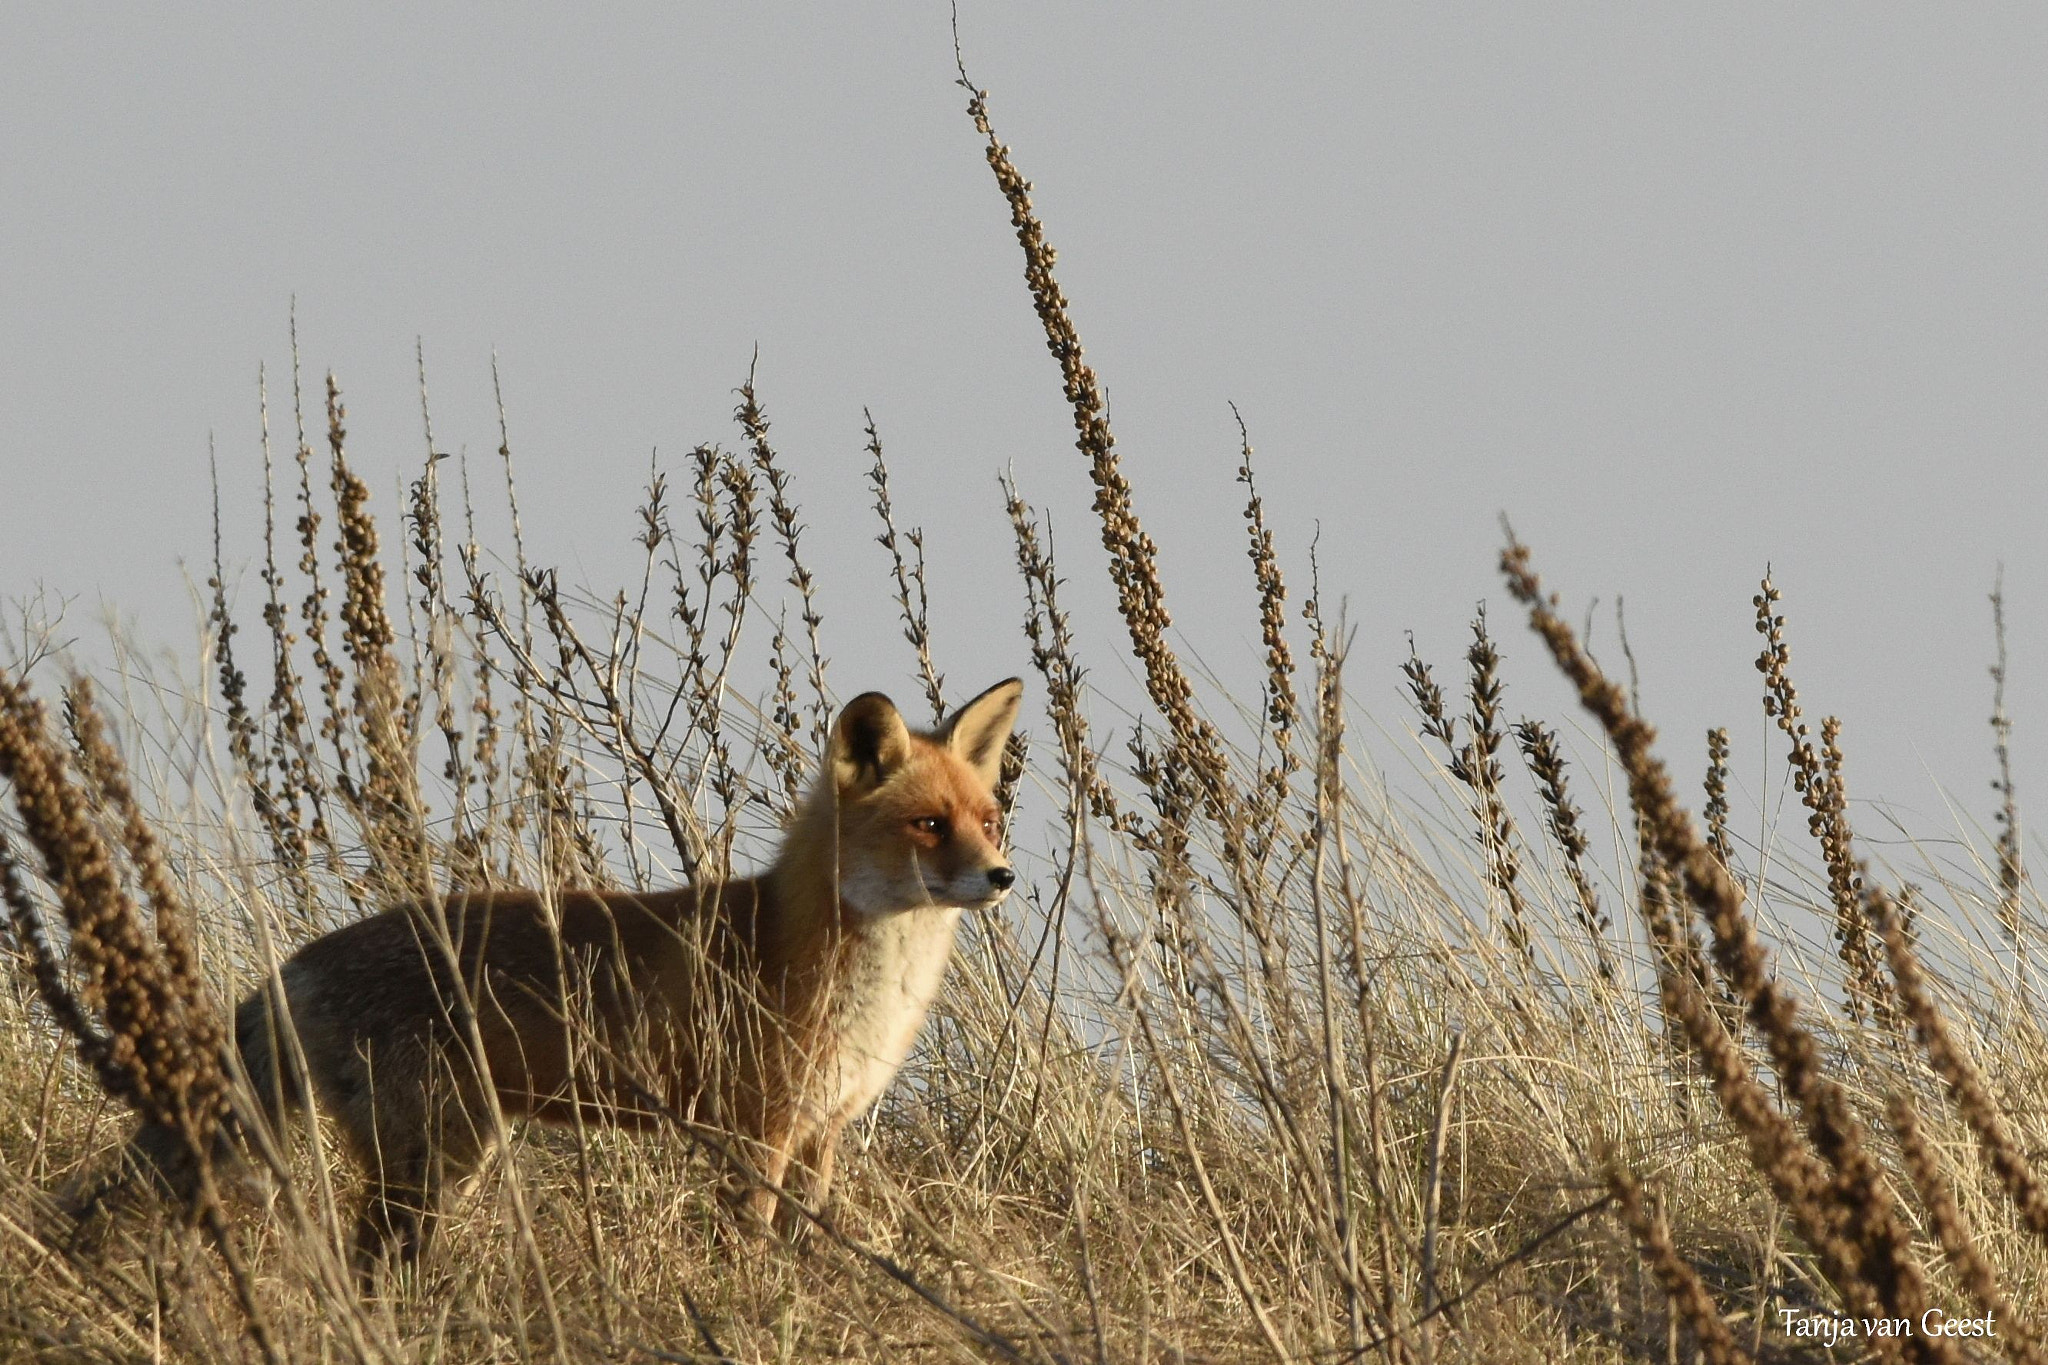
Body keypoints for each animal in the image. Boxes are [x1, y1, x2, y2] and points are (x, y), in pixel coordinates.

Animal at [159, 679, 1024, 1268]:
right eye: (928, 824)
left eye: (989, 821)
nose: (1002, 876)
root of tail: (295, 964)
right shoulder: (757, 1130)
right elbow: (744, 1248)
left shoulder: (821, 1131)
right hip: (427, 1159)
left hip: (447, 1154)